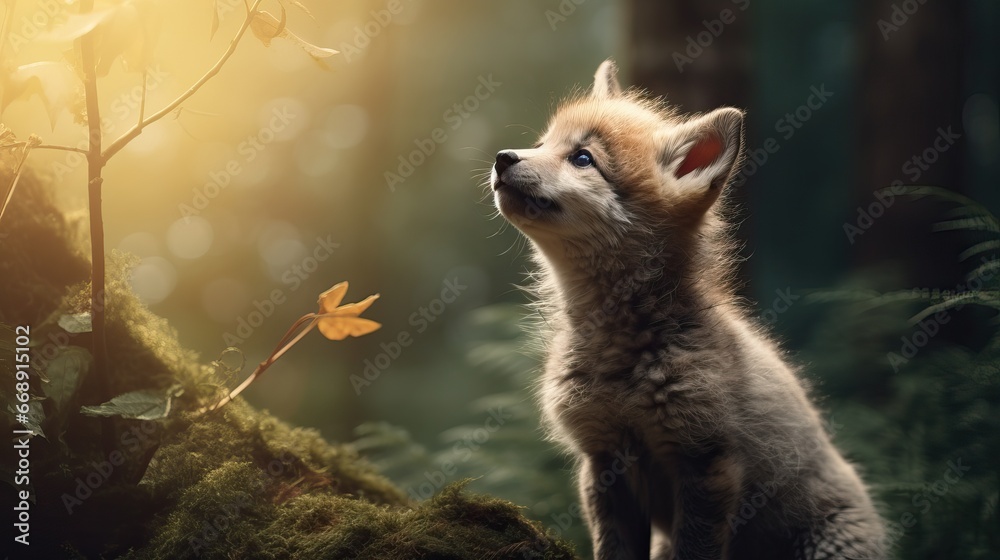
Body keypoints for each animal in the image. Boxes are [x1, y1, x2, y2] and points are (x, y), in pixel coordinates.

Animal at [489, 60, 886, 560]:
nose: (503, 157)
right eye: (542, 144)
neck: (620, 362)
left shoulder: (706, 463)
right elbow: (613, 549)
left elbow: (694, 549)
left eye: (582, 158)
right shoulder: (603, 459)